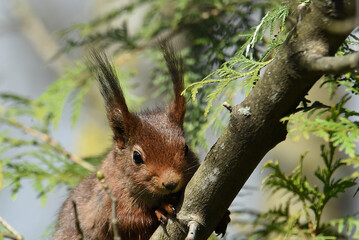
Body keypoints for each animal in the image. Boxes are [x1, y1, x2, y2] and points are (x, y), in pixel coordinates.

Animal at [52, 42, 201, 239]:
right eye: (136, 157)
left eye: (186, 148)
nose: (171, 183)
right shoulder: (109, 202)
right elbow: (130, 220)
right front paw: (160, 209)